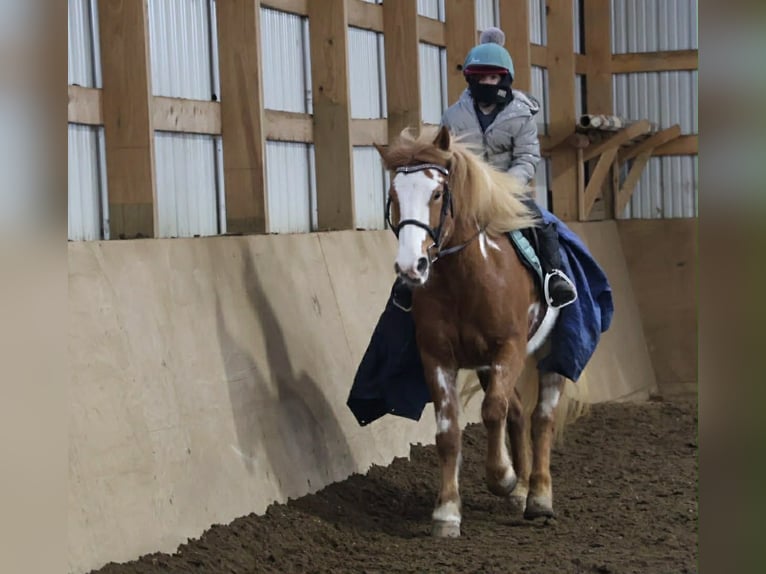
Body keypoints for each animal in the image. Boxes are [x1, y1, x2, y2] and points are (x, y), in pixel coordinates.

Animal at [373, 125, 587, 538]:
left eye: (437, 193)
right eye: (394, 196)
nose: (411, 266)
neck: (468, 277)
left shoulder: (510, 347)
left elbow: (491, 412)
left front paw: (502, 476)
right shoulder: (437, 356)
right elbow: (448, 432)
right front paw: (447, 512)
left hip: (550, 352)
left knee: (540, 417)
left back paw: (538, 496)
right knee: (517, 412)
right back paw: (522, 491)